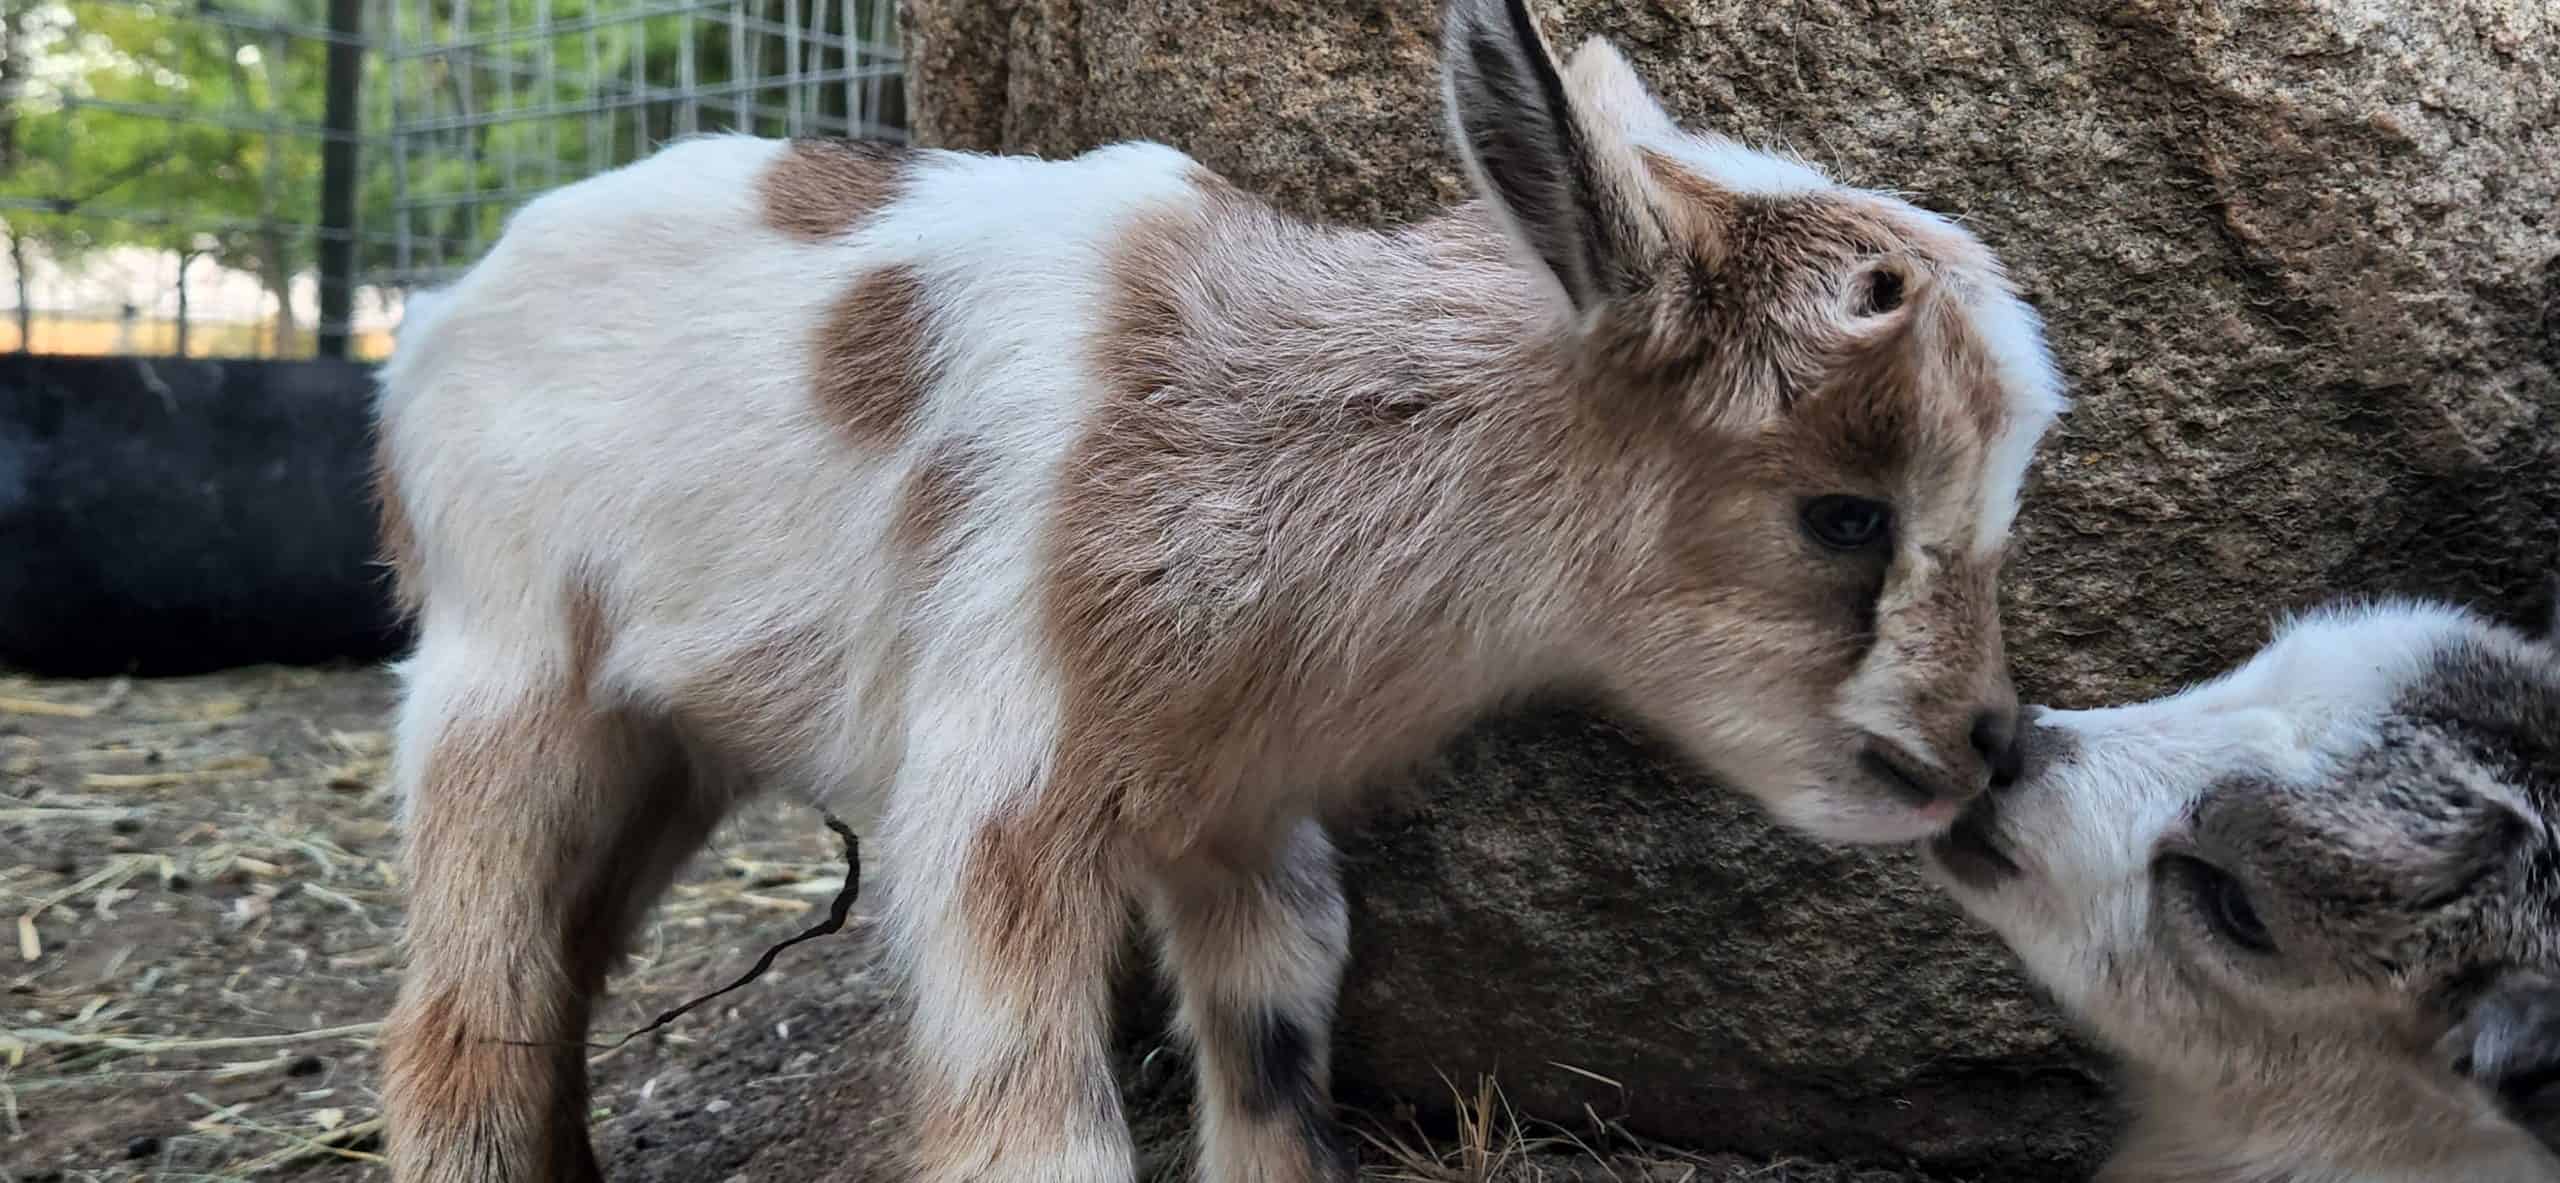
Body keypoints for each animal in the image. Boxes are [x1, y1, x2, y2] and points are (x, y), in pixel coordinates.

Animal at [373, 0, 2058, 1172]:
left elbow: (1273, 1069)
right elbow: (1037, 1136)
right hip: (504, 680)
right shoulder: (994, 813)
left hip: (666, 744)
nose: (1982, 743)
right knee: (458, 1012)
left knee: (557, 977)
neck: (1248, 430)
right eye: (1844, 514)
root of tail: (435, 318)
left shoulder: (1243, 818)